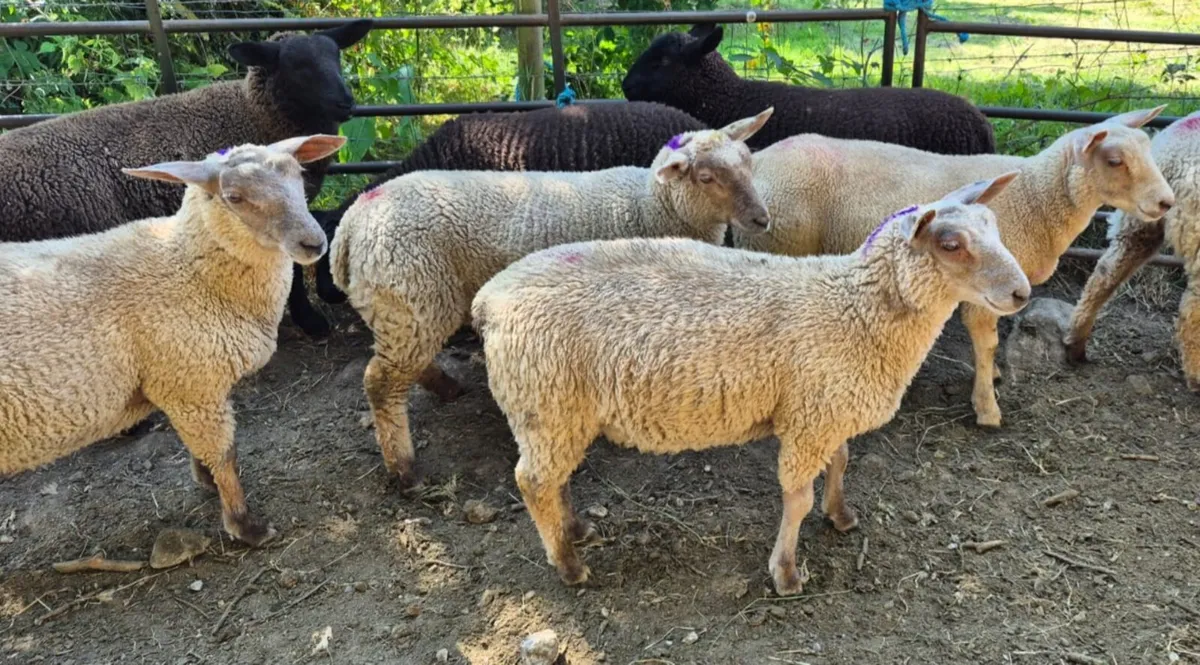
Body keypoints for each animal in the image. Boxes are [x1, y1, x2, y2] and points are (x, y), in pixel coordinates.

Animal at [0, 134, 345, 546]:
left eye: (299, 175)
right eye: (234, 197)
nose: (314, 243)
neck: (185, 264)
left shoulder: (190, 386)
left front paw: (208, 482)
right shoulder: (190, 384)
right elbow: (225, 454)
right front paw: (245, 524)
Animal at [331, 109, 775, 488]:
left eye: (749, 163)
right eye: (706, 177)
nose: (762, 219)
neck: (649, 203)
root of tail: (350, 225)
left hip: (407, 307)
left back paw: (445, 388)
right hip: (412, 293)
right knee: (381, 383)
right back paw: (404, 468)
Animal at [471, 173, 1030, 595]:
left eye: (995, 227)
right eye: (950, 245)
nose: (1022, 293)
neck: (856, 308)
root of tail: (490, 299)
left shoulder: (828, 407)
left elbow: (842, 461)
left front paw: (841, 515)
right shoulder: (810, 418)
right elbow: (796, 498)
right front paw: (786, 572)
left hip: (558, 410)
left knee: (553, 477)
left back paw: (576, 529)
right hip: (544, 398)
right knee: (534, 481)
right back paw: (568, 564)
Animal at [733, 107, 1175, 428]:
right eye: (1115, 160)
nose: (1167, 202)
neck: (1038, 197)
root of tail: (760, 159)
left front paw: (991, 378)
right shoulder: (985, 291)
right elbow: (987, 342)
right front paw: (987, 406)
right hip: (780, 242)